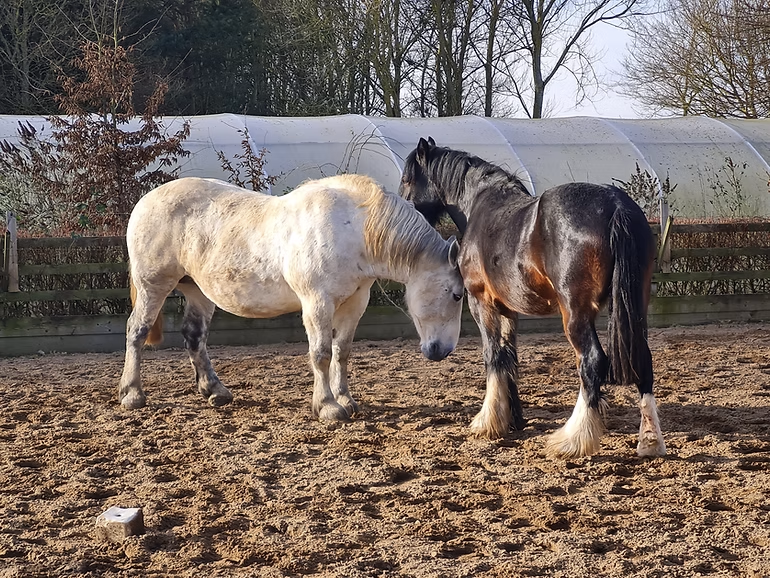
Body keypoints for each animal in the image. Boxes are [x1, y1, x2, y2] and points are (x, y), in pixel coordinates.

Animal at [119, 174, 464, 422]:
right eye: (457, 295)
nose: (442, 351)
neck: (353, 231)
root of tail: (145, 201)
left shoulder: (355, 302)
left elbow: (342, 352)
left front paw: (346, 399)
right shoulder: (317, 303)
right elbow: (321, 353)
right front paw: (328, 406)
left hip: (197, 291)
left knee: (194, 336)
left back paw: (215, 390)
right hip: (153, 286)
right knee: (137, 331)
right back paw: (132, 394)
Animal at [399, 137, 665, 459]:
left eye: (407, 179)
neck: (480, 206)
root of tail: (615, 205)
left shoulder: (481, 302)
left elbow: (492, 356)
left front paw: (487, 423)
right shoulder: (507, 308)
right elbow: (508, 356)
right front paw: (512, 419)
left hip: (575, 314)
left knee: (592, 363)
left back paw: (572, 439)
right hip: (632, 306)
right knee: (643, 361)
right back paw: (650, 442)